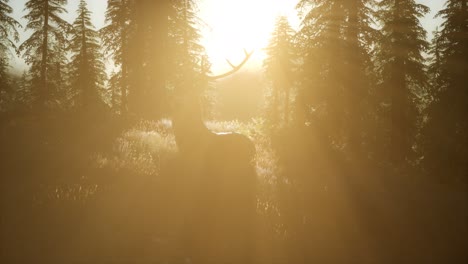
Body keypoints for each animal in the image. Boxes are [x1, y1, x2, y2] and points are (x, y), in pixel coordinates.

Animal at [168, 50, 256, 264]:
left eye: (190, 91)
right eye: (177, 85)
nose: (173, 100)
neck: (188, 142)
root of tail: (252, 148)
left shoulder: (194, 174)